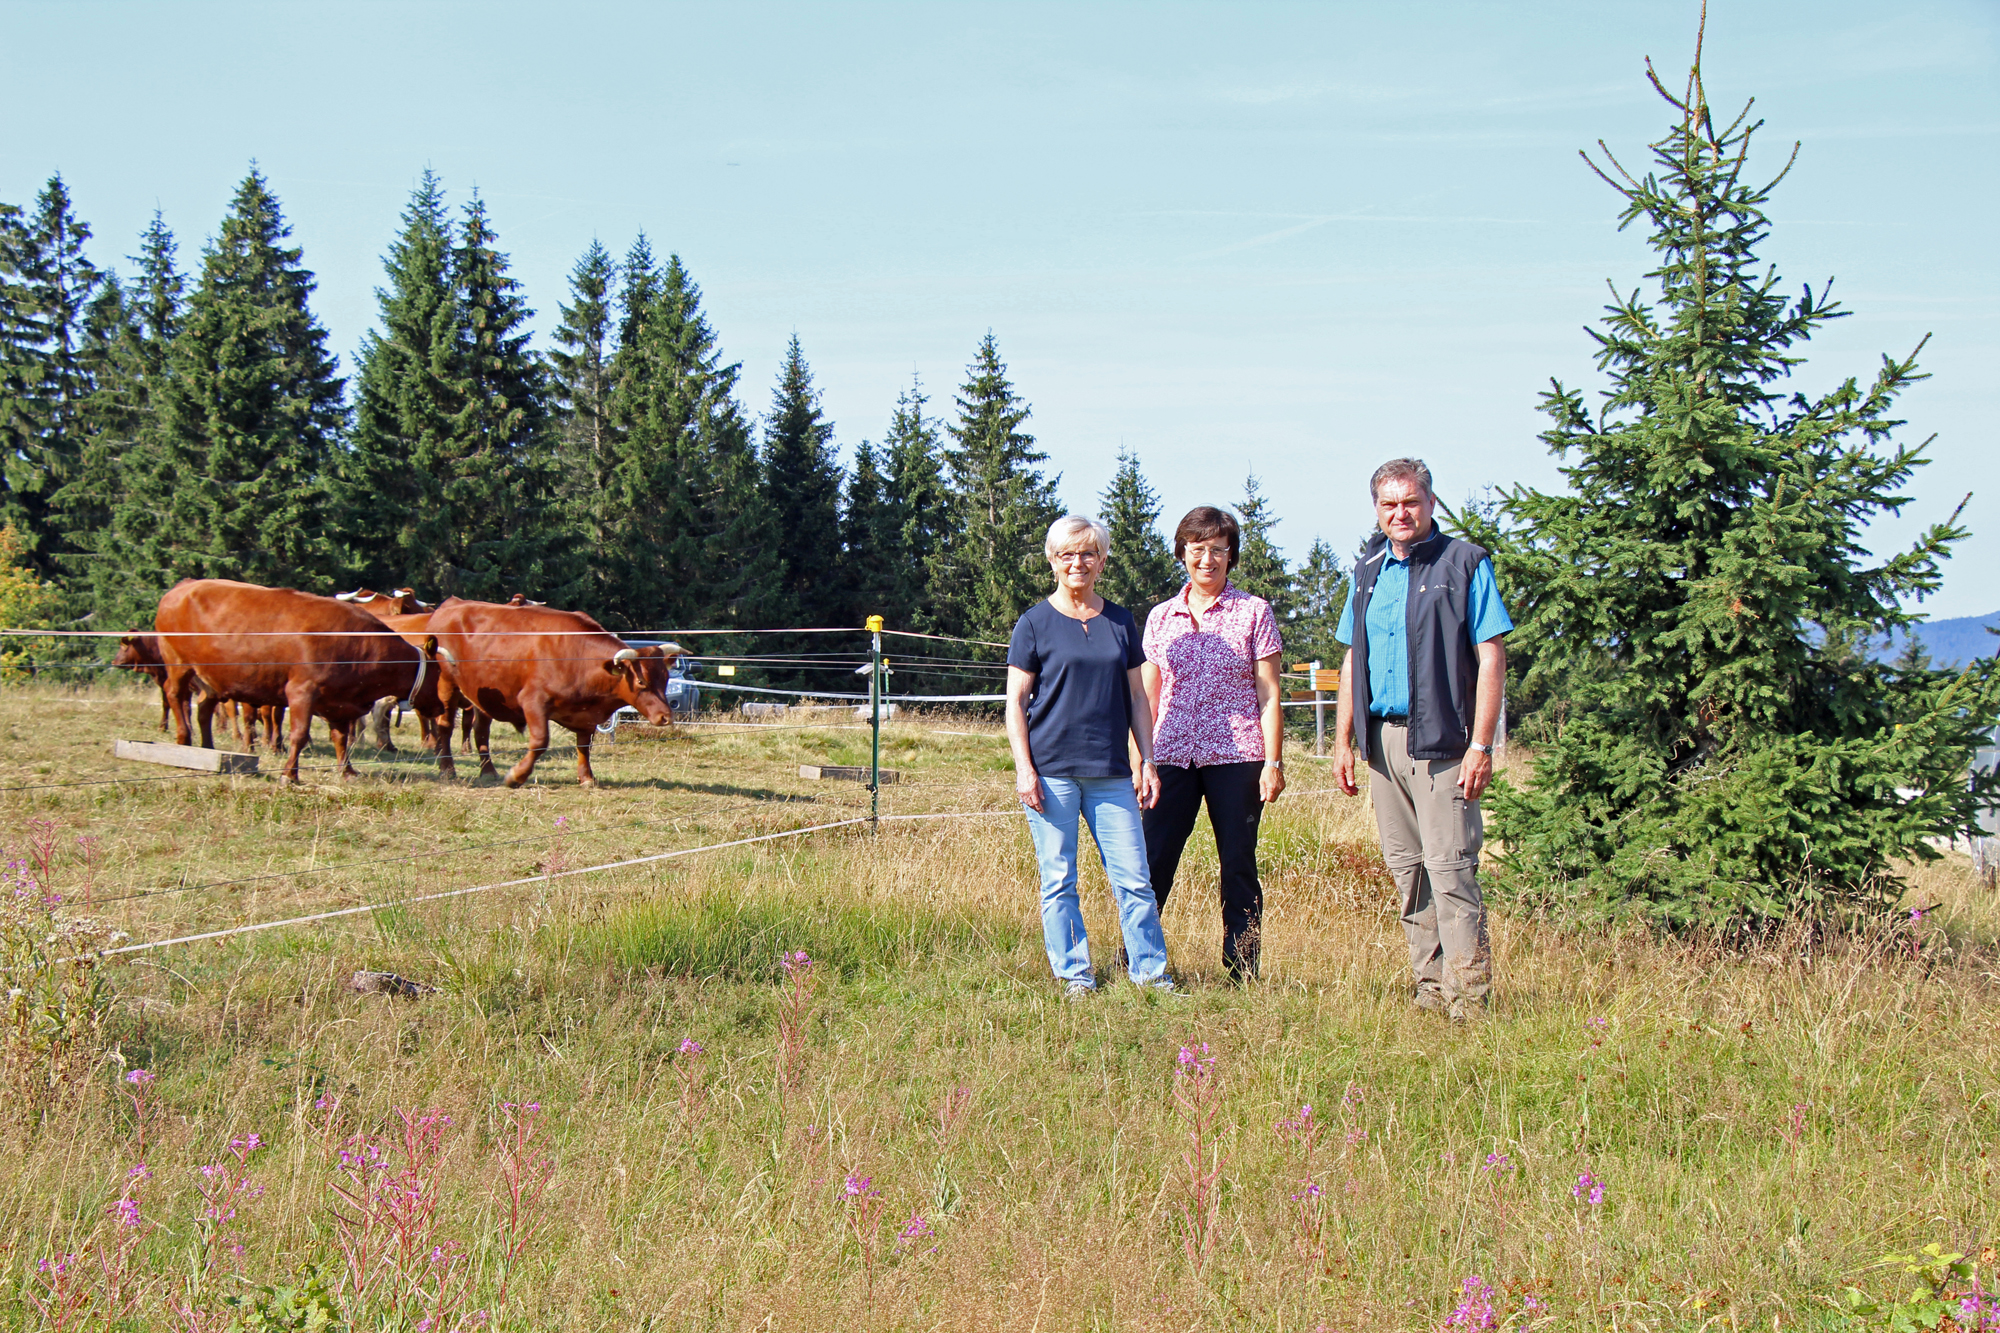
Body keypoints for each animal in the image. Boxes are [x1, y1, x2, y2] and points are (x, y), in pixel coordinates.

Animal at [422, 596, 680, 784]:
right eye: (641, 682)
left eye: (665, 678)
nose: (666, 717)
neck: (578, 656)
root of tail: (452, 603)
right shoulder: (533, 702)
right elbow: (540, 741)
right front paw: (516, 776)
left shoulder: (586, 716)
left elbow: (584, 745)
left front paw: (586, 777)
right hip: (447, 684)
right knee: (445, 726)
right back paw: (447, 769)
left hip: (481, 696)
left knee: (481, 730)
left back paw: (488, 771)